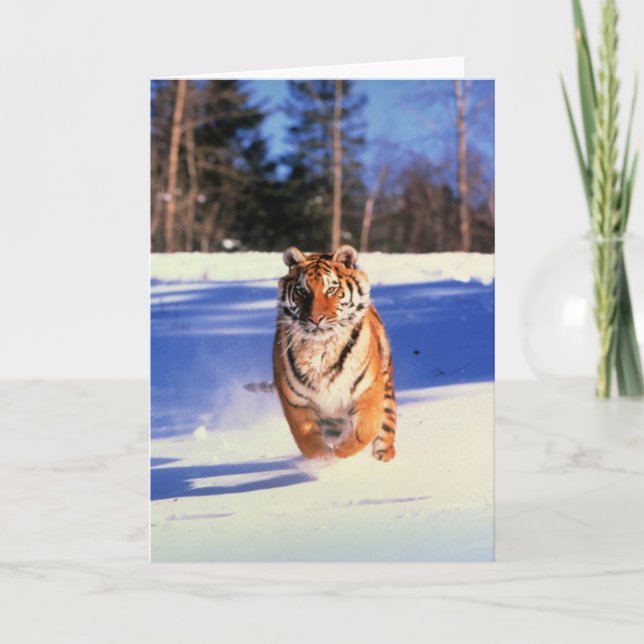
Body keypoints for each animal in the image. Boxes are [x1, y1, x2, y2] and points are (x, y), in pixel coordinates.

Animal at [272, 244, 397, 462]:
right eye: (302, 291)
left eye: (331, 289)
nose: (315, 318)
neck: (321, 348)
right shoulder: (295, 402)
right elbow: (309, 443)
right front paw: (324, 461)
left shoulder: (368, 389)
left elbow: (365, 429)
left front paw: (339, 452)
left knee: (386, 423)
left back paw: (383, 453)